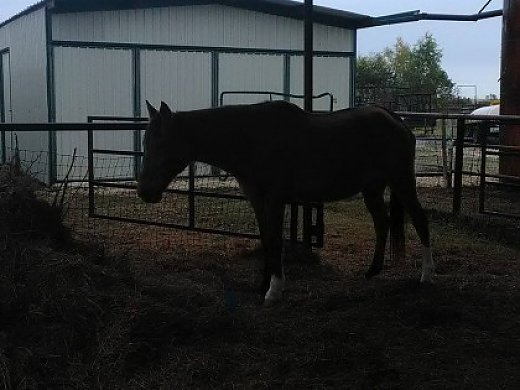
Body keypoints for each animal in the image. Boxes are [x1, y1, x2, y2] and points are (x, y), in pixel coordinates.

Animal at [138, 100, 434, 304]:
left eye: (161, 144)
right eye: (145, 143)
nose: (144, 192)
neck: (250, 139)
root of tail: (396, 120)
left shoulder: (275, 200)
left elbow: (276, 241)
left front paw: (274, 291)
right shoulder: (258, 201)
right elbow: (266, 239)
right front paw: (264, 284)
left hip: (402, 181)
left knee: (421, 220)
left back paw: (426, 277)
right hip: (372, 189)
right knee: (382, 224)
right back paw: (372, 271)